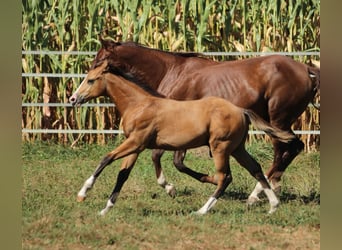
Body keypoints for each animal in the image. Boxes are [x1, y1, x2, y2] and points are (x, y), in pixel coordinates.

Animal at [68, 58, 296, 215]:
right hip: (237, 148)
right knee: (255, 169)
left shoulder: (135, 142)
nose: (72, 99)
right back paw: (272, 205)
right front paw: (105, 209)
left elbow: (106, 158)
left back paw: (202, 210)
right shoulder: (136, 146)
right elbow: (122, 175)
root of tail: (240, 110)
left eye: (91, 80)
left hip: (220, 148)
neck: (140, 104)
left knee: (225, 177)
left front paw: (82, 193)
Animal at [89, 39, 320, 202]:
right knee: (294, 148)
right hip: (280, 123)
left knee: (283, 151)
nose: (87, 80)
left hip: (278, 120)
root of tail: (306, 69)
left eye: (99, 61)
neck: (172, 73)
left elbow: (171, 160)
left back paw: (257, 194)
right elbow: (167, 159)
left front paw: (176, 186)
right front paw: (173, 187)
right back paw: (270, 188)